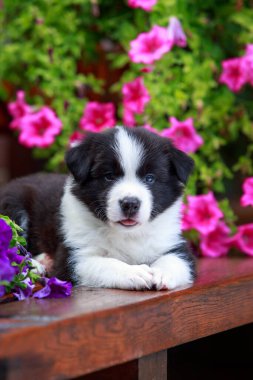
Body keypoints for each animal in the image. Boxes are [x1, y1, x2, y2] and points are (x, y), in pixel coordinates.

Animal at [0, 126, 196, 290]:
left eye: (150, 178)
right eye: (109, 176)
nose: (130, 203)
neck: (127, 235)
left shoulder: (174, 243)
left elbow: (176, 260)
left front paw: (162, 273)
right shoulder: (74, 257)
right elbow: (106, 264)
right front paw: (134, 272)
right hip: (13, 205)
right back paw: (35, 265)